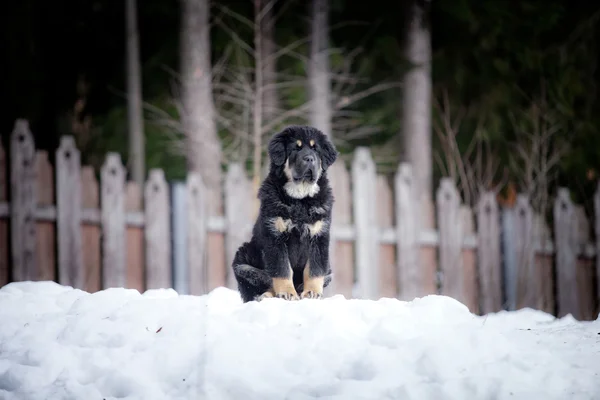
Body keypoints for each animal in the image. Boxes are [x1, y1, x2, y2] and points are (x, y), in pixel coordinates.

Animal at [232, 125, 340, 304]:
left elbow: (314, 269)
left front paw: (312, 292)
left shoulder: (319, 235)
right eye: (295, 148)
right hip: (242, 261)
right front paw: (287, 293)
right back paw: (267, 295)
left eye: (315, 149)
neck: (300, 199)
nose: (309, 159)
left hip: (329, 269)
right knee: (264, 282)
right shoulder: (275, 235)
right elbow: (282, 269)